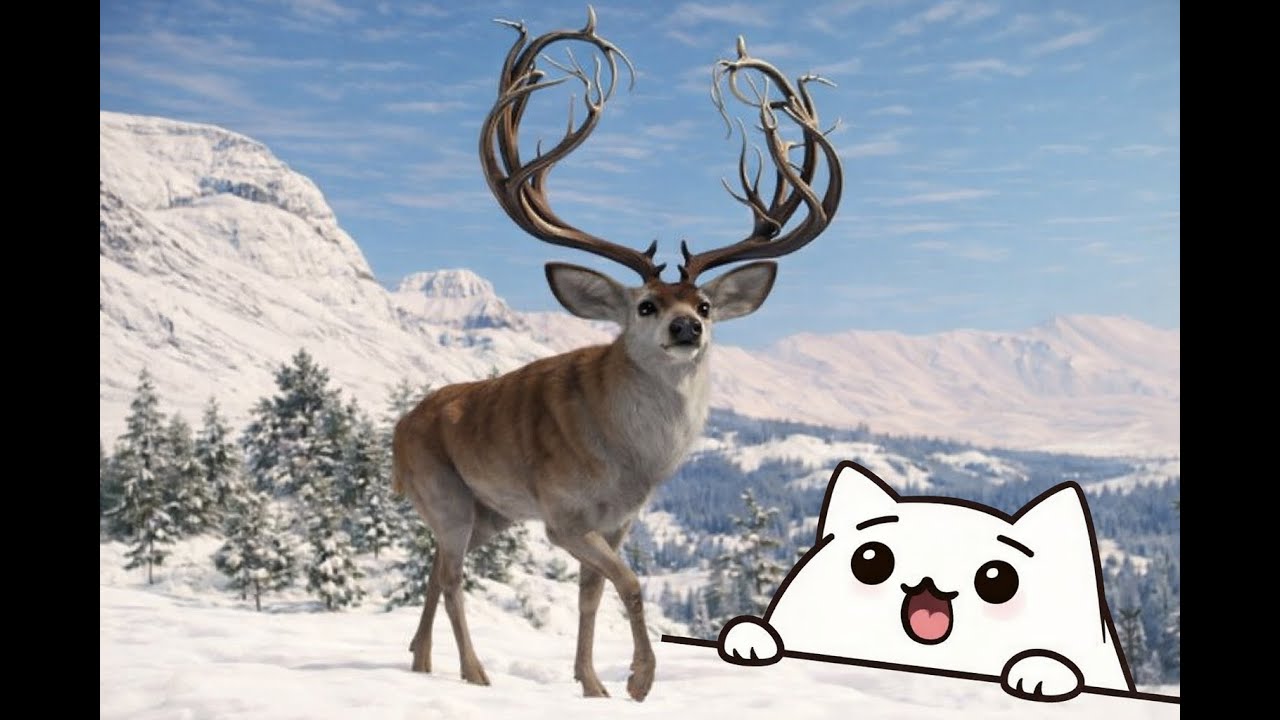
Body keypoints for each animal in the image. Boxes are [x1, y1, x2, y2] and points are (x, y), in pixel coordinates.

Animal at [391, 7, 843, 702]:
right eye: (646, 305)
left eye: (706, 305)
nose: (687, 327)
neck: (630, 460)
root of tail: (398, 429)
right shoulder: (563, 515)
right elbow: (630, 584)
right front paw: (639, 679)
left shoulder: (617, 520)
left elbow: (591, 596)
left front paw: (592, 684)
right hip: (445, 494)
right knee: (451, 576)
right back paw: (473, 672)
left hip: (488, 511)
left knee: (434, 569)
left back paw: (420, 660)